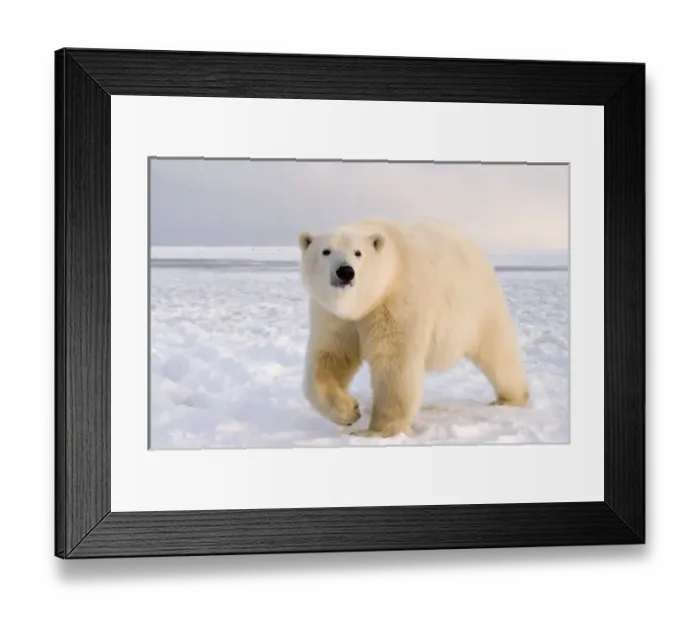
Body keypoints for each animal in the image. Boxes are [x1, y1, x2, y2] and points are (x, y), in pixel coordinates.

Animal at [298, 218, 530, 438]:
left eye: (358, 252)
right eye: (326, 251)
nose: (345, 272)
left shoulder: (397, 303)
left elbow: (394, 363)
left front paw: (378, 431)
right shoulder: (333, 316)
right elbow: (331, 357)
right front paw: (349, 411)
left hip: (478, 305)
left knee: (497, 350)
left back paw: (511, 398)